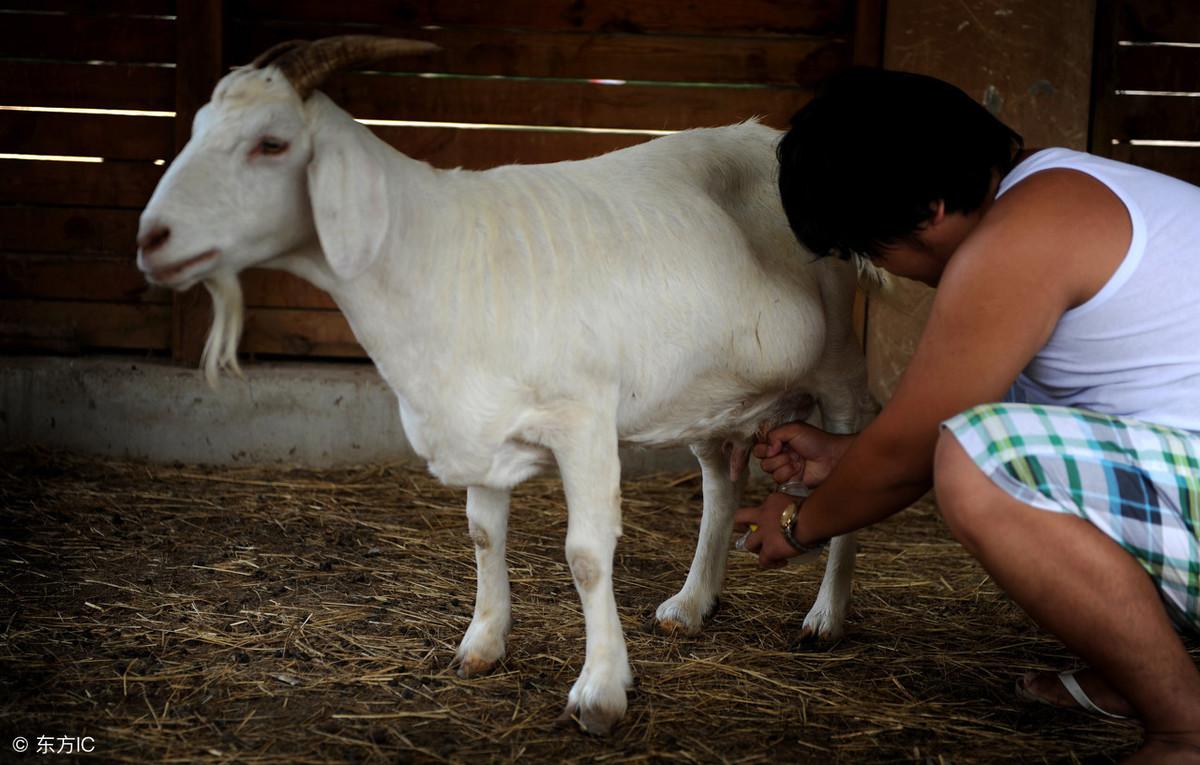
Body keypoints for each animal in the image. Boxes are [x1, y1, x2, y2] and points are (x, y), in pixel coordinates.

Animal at [136, 37, 873, 738]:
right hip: (709, 395)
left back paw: (824, 618)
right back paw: (692, 604)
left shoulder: (583, 419)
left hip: (839, 361)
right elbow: (484, 534)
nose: (151, 239)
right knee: (722, 484)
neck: (436, 254)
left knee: (851, 456)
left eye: (273, 143)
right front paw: (482, 645)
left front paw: (601, 690)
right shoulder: (477, 424)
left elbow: (585, 555)